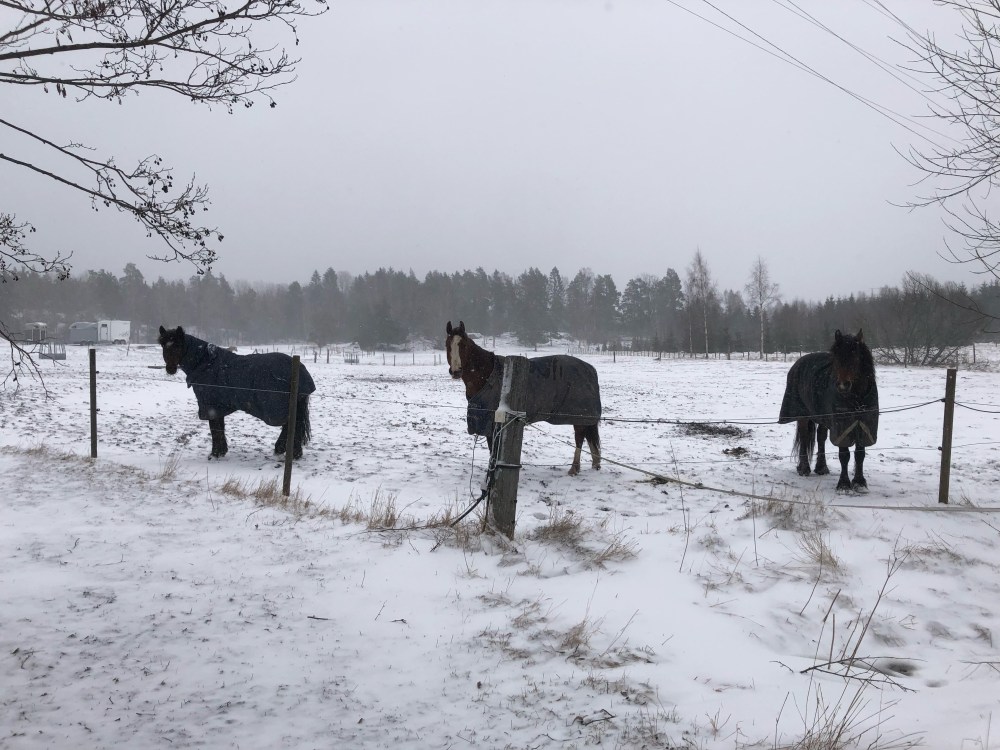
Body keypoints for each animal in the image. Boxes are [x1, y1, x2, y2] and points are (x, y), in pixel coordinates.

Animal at [157, 325, 315, 459]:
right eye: (164, 345)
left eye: (178, 345)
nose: (170, 369)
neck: (205, 363)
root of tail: (300, 369)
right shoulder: (217, 407)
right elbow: (219, 428)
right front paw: (221, 451)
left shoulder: (210, 406)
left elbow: (215, 429)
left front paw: (215, 453)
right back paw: (283, 450)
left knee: (292, 425)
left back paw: (290, 453)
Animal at [445, 320, 601, 476]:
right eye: (447, 344)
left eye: (463, 345)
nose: (456, 372)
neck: (487, 374)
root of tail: (590, 369)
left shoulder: (493, 422)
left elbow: (493, 449)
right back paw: (594, 464)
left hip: (579, 417)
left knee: (579, 439)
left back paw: (574, 468)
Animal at [778, 329, 878, 492]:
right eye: (836, 358)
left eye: (855, 357)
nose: (843, 385)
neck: (857, 399)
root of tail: (798, 362)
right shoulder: (842, 427)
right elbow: (844, 455)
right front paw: (844, 484)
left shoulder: (865, 425)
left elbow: (860, 454)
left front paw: (859, 483)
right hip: (803, 415)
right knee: (805, 437)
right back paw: (804, 468)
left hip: (823, 416)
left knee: (820, 437)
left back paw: (821, 468)